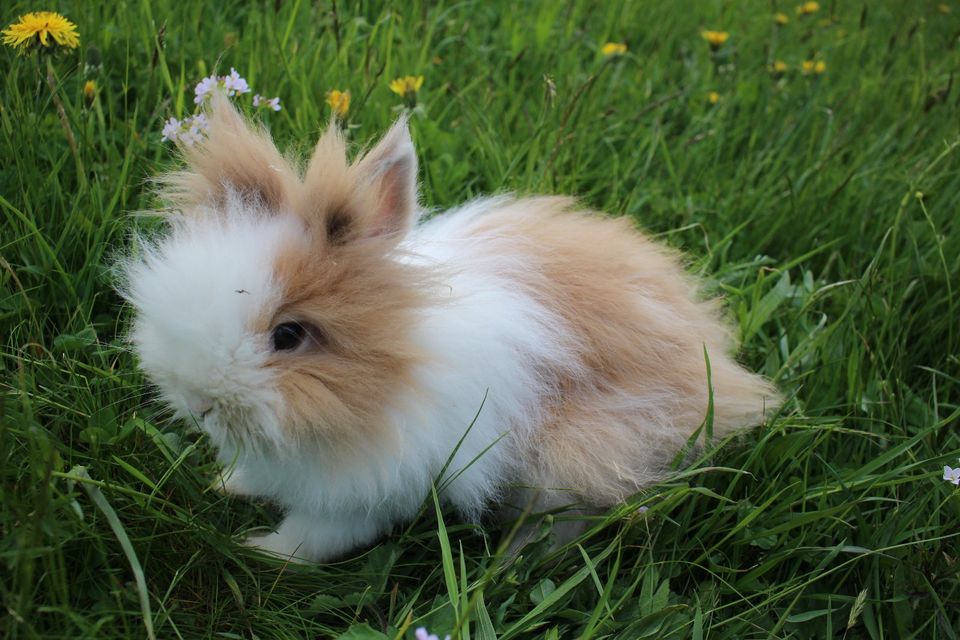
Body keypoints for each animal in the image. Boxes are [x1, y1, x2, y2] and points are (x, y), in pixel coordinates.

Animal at [122, 94, 780, 560]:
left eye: (288, 335)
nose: (197, 401)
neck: (398, 366)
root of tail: (721, 368)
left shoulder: (371, 486)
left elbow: (317, 536)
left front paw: (259, 550)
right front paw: (227, 484)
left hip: (581, 451)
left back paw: (513, 562)